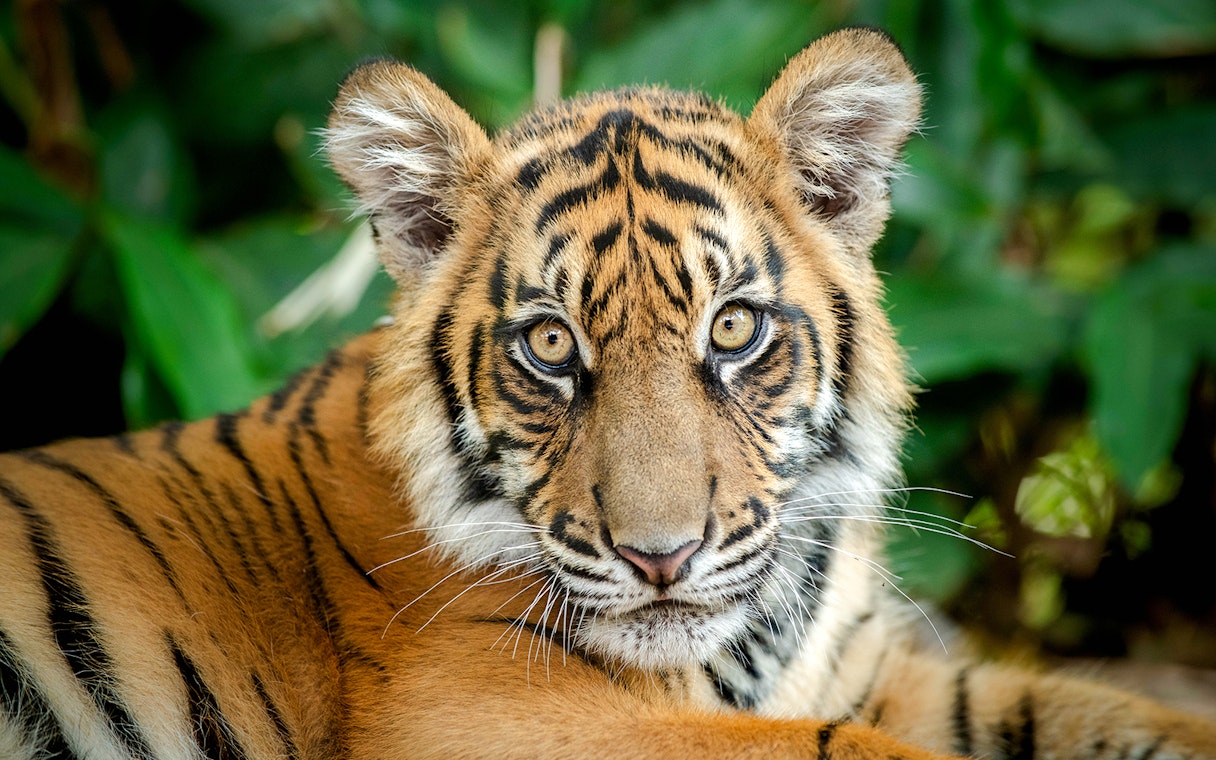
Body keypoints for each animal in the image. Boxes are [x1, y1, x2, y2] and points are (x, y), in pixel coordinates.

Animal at [1, 26, 1213, 760]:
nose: (660, 558)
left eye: (732, 329)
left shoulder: (870, 667)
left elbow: (1084, 707)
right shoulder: (495, 712)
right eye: (550, 344)